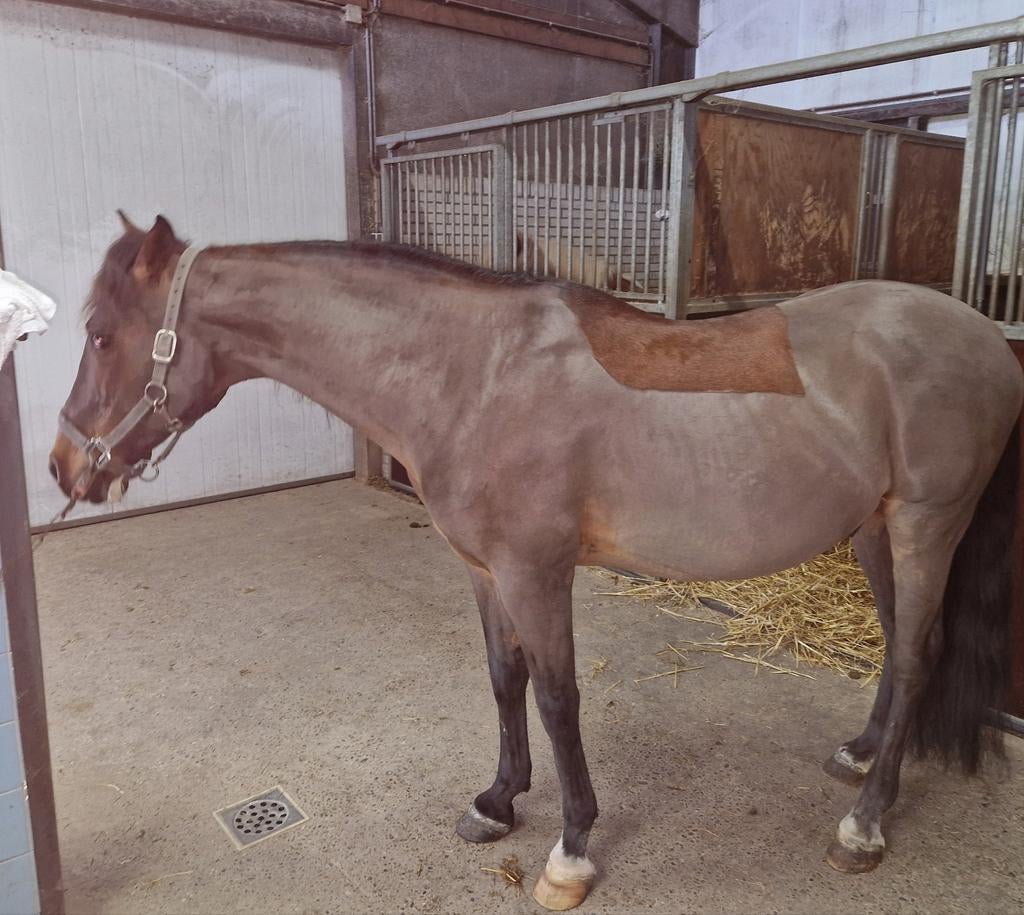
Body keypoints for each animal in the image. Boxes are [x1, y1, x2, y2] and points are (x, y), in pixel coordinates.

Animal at [50, 213, 1022, 910]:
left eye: (99, 335)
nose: (62, 468)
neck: (471, 375)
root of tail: (984, 337)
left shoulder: (535, 572)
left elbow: (558, 698)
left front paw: (571, 849)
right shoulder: (486, 571)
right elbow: (503, 677)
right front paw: (497, 800)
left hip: (928, 525)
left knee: (917, 655)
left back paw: (863, 827)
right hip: (875, 530)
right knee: (900, 650)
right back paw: (864, 760)